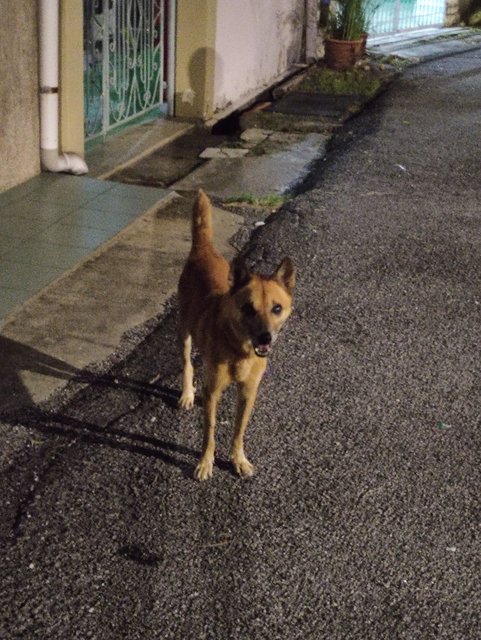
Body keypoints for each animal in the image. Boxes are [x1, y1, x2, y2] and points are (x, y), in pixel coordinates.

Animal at [178, 190, 294, 480]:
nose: (265, 338)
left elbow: (239, 431)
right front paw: (205, 463)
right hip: (183, 331)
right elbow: (209, 432)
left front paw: (238, 459)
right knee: (186, 363)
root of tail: (203, 249)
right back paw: (187, 393)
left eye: (277, 308)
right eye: (248, 308)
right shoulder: (213, 392)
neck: (238, 348)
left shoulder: (248, 393)